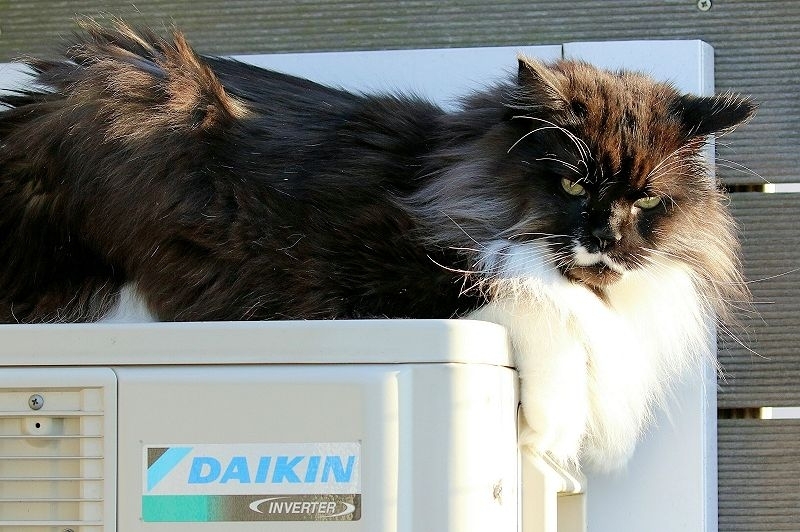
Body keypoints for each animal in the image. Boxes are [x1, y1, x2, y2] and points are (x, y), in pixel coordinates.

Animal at [0, 20, 755, 470]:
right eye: (572, 183)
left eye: (648, 202)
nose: (605, 237)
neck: (448, 176)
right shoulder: (398, 280)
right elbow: (530, 303)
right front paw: (548, 433)